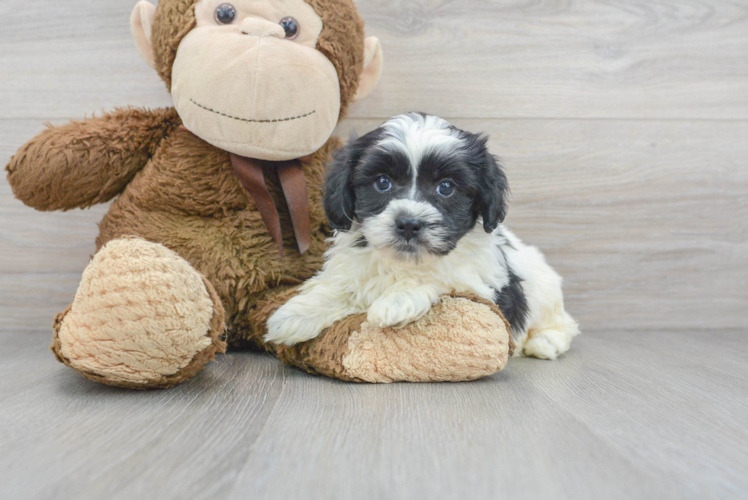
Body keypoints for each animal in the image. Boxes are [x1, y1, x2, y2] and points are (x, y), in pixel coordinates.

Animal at [266, 112, 580, 360]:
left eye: (446, 187)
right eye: (382, 182)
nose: (408, 224)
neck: (405, 262)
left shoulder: (478, 280)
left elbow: (440, 276)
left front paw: (397, 301)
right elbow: (342, 286)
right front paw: (295, 315)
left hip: (545, 293)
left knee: (563, 323)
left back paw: (545, 342)